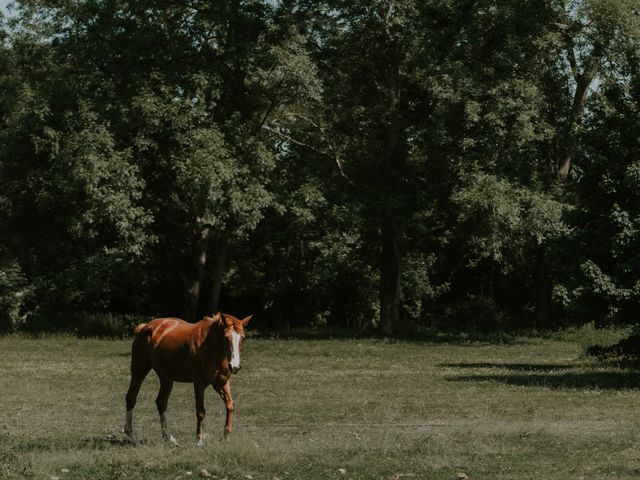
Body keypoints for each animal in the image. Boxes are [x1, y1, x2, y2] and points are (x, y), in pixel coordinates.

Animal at [122, 312, 250, 446]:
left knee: (161, 402)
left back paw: (169, 437)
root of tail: (144, 327)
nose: (235, 366)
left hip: (166, 378)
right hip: (139, 371)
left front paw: (226, 436)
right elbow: (200, 411)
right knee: (131, 397)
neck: (210, 346)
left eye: (243, 338)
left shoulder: (222, 383)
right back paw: (130, 435)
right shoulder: (199, 384)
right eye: (226, 338)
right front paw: (199, 440)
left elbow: (230, 405)